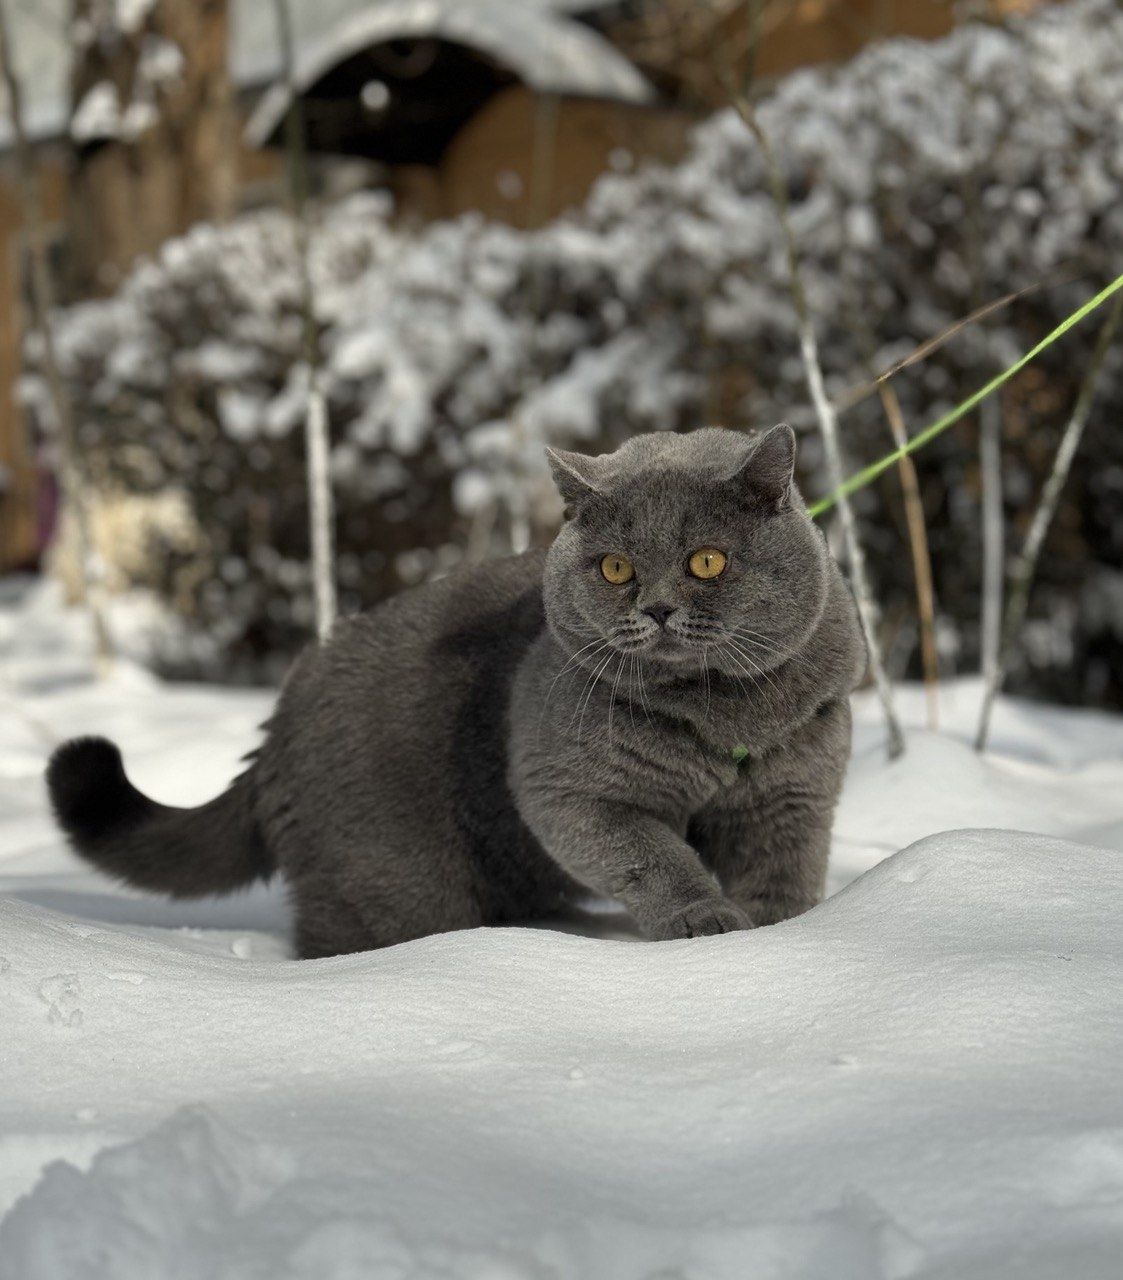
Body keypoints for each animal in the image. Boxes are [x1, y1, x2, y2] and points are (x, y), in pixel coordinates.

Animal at [48, 424, 865, 957]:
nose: (657, 607)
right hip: (394, 878)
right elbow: (654, 856)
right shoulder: (568, 792)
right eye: (614, 569)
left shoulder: (791, 798)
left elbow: (784, 876)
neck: (724, 720)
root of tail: (276, 725)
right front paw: (706, 924)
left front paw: (781, 936)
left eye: (706, 561)